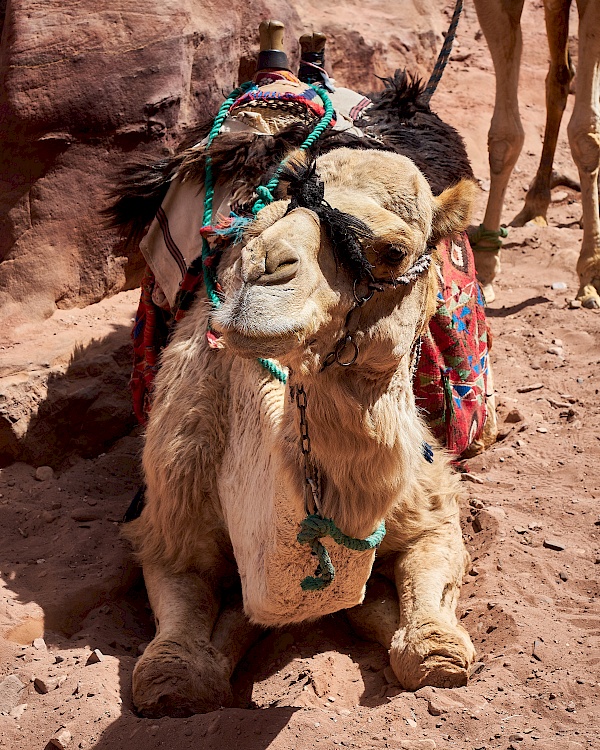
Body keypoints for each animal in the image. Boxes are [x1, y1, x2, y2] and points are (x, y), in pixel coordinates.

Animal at [109, 22, 492, 716]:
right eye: (262, 217)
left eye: (392, 250)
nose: (264, 272)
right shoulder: (169, 516)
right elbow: (180, 641)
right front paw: (183, 667)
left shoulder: (431, 505)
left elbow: (428, 642)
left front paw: (420, 638)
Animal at [472, 0, 600, 308]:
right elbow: (506, 135)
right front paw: (484, 265)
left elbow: (585, 134)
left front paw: (590, 276)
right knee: (559, 76)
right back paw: (536, 204)